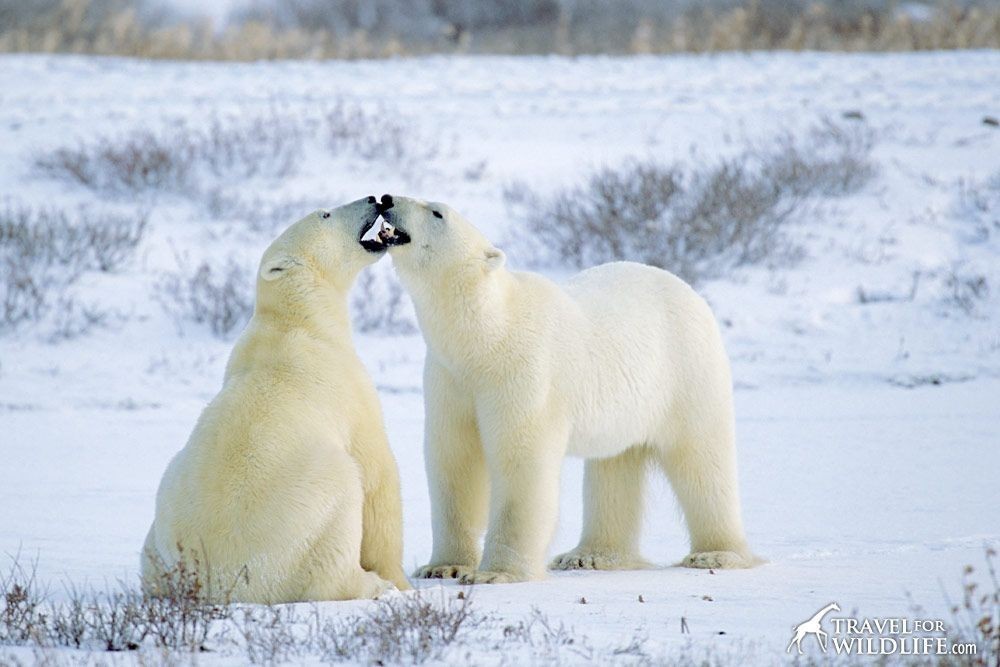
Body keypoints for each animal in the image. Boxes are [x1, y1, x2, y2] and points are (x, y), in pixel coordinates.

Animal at [141, 198, 410, 604]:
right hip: (306, 517)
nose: (373, 199)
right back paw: (373, 585)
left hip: (159, 535)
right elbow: (378, 474)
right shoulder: (346, 387)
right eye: (325, 214)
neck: (299, 321)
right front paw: (402, 581)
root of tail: (215, 583)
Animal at [376, 194, 756, 584]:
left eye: (437, 212)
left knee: (701, 459)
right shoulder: (450, 378)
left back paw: (717, 553)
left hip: (686, 372)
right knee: (614, 466)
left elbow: (520, 461)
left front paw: (495, 573)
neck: (487, 336)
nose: (386, 199)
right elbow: (455, 460)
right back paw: (590, 556)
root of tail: (688, 289)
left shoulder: (523, 372)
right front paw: (443, 566)